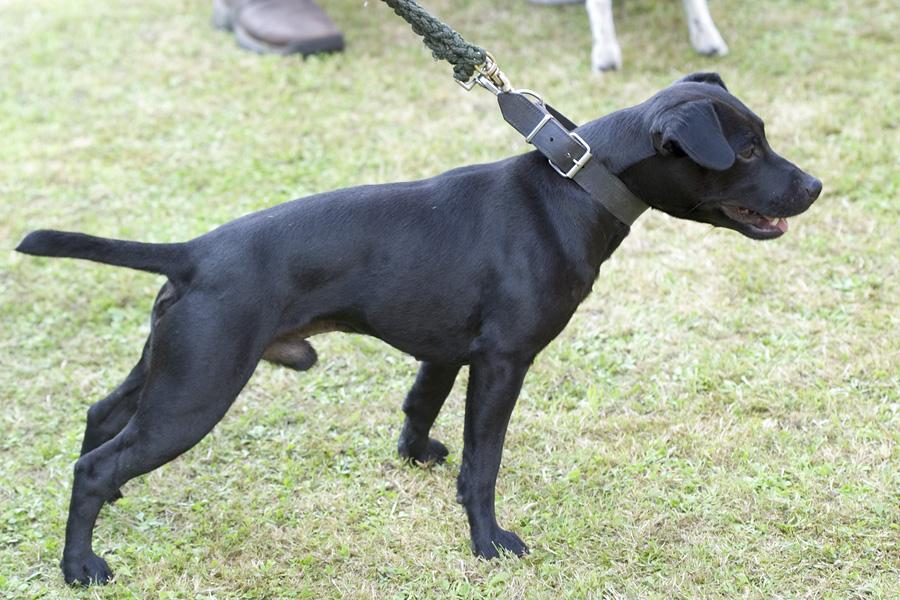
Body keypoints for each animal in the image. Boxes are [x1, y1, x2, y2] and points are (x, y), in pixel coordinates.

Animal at [14, 72, 820, 584]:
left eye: (764, 139)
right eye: (746, 150)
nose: (814, 186)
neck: (576, 185)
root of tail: (194, 252)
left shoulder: (449, 353)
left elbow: (420, 405)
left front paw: (417, 456)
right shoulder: (503, 362)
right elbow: (483, 464)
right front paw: (489, 544)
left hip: (170, 368)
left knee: (100, 419)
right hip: (198, 391)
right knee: (97, 465)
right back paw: (80, 567)